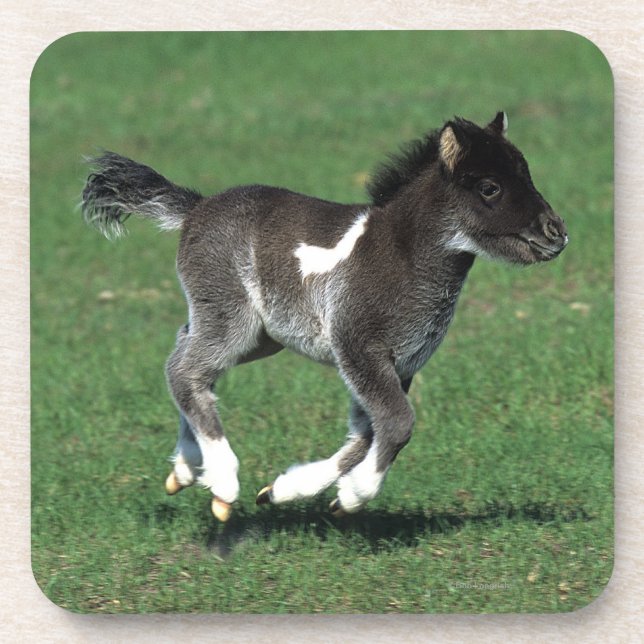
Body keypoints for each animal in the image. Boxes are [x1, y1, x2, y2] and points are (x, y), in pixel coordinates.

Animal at [81, 112, 568, 522]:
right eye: (489, 187)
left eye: (526, 173)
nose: (557, 233)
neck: (402, 255)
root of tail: (195, 209)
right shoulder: (358, 345)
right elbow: (397, 423)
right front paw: (353, 497)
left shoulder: (400, 362)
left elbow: (367, 434)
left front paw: (285, 491)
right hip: (232, 318)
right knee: (184, 371)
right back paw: (223, 482)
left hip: (258, 335)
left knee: (186, 355)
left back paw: (186, 469)